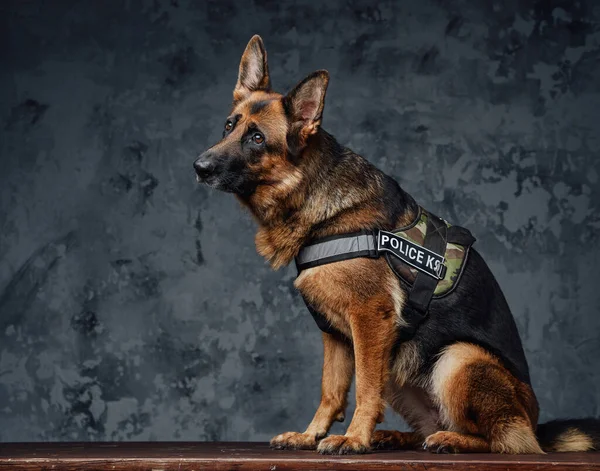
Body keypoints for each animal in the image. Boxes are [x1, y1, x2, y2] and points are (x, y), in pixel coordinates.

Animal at [195, 35, 596, 456]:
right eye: (228, 127)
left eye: (256, 138)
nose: (199, 167)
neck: (311, 194)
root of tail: (535, 423)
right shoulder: (335, 334)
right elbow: (330, 390)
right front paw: (311, 435)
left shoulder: (371, 321)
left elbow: (366, 390)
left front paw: (354, 438)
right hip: (403, 368)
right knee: (433, 426)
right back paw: (396, 436)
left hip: (457, 358)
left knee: (504, 440)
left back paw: (450, 440)